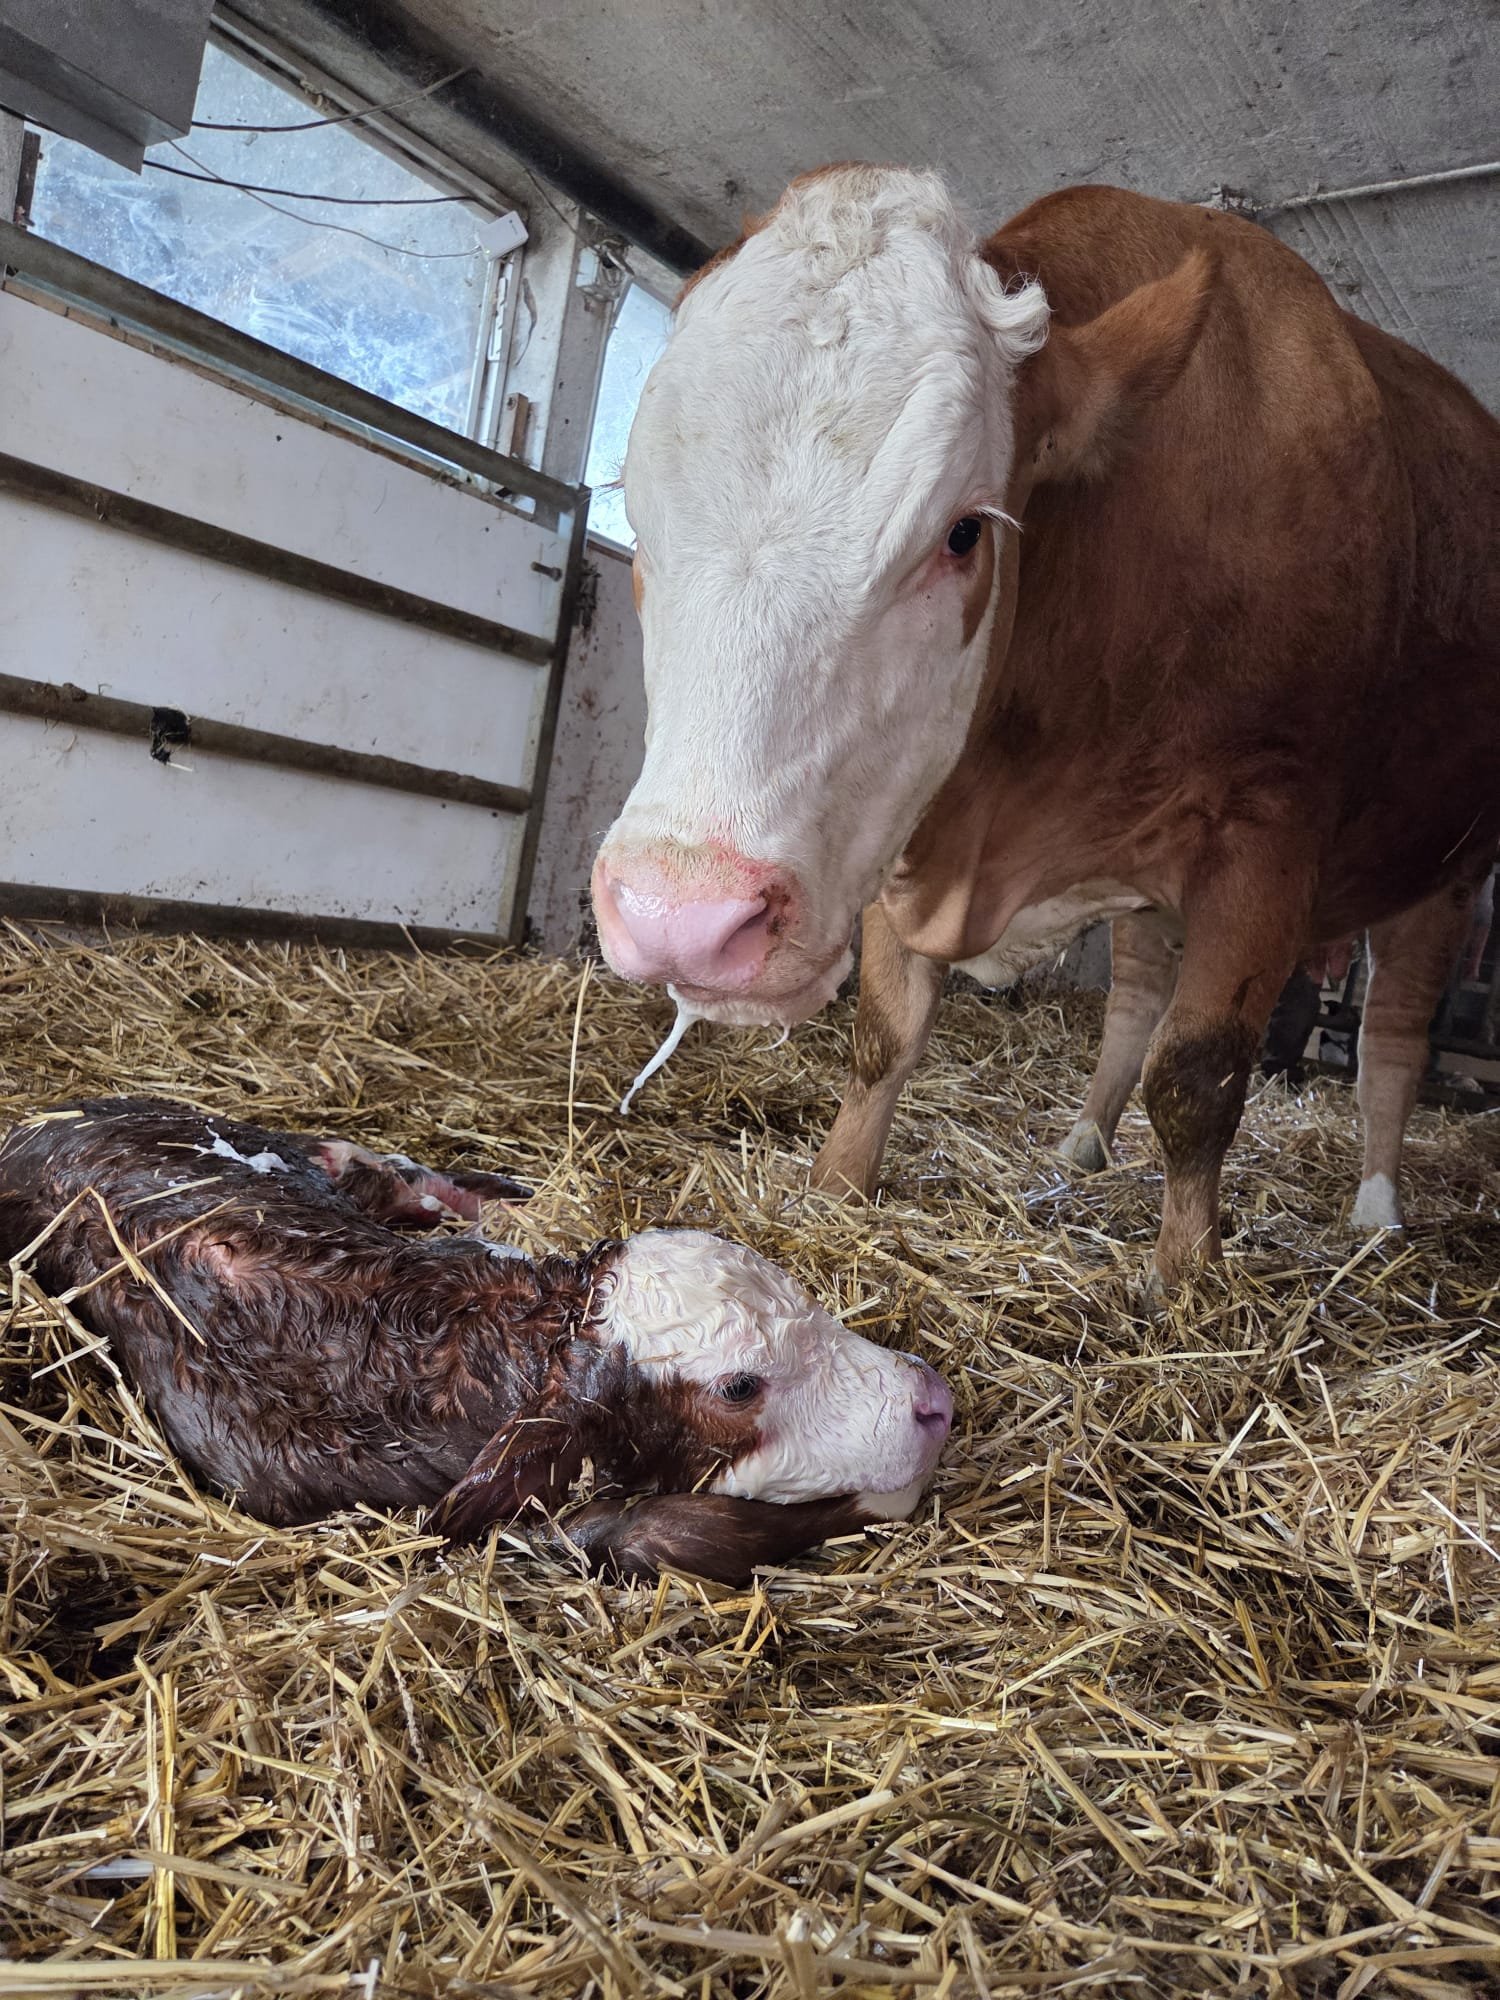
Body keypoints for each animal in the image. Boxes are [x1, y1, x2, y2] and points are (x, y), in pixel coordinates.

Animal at [590, 168, 1500, 1284]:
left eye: (963, 534)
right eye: (636, 511)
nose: (681, 919)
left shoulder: (1269, 825)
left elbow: (1200, 1077)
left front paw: (1187, 1279)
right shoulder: (899, 810)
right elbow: (887, 1032)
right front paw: (838, 1185)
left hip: (1452, 866)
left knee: (1394, 1038)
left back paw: (1376, 1208)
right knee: (1136, 996)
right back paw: (1085, 1136)